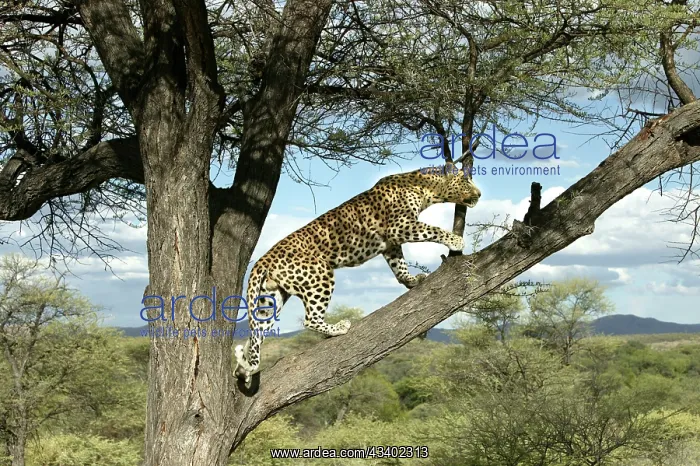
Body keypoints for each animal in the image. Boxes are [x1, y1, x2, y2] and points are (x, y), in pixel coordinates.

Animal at [234, 165, 481, 385]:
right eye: (466, 180)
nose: (479, 194)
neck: (426, 188)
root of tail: (263, 260)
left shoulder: (390, 244)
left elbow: (399, 268)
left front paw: (412, 281)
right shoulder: (400, 226)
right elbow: (433, 230)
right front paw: (455, 240)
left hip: (272, 298)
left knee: (257, 334)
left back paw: (243, 366)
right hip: (320, 275)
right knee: (310, 319)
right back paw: (338, 328)